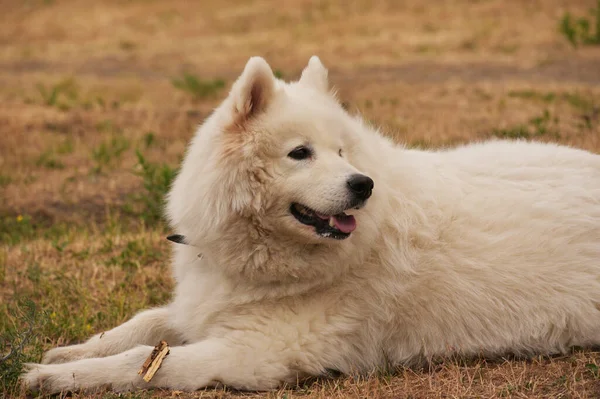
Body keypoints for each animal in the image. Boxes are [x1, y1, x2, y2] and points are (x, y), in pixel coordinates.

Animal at [23, 55, 600, 394]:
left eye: (341, 152)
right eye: (300, 153)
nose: (363, 185)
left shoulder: (251, 355)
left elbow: (142, 361)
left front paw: (54, 376)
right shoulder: (206, 305)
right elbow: (143, 325)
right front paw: (71, 351)